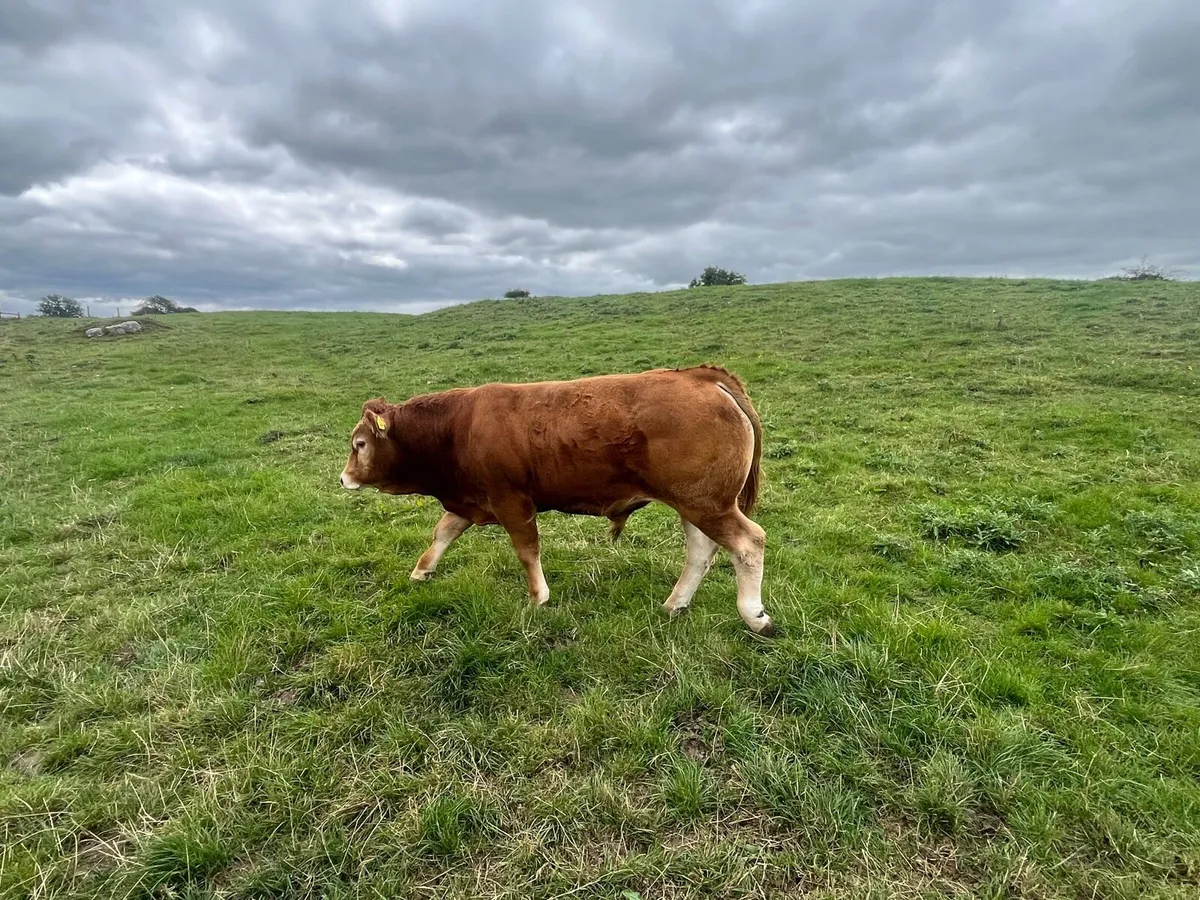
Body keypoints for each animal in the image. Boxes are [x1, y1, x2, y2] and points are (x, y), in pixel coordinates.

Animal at [339, 365, 774, 634]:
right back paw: (675, 603)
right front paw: (421, 571)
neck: (458, 426)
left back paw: (755, 616)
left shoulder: (511, 501)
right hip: (694, 503)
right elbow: (442, 532)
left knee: (748, 542)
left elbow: (527, 550)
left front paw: (538, 598)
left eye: (359, 444)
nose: (344, 478)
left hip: (708, 504)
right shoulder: (472, 500)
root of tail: (702, 377)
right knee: (700, 550)